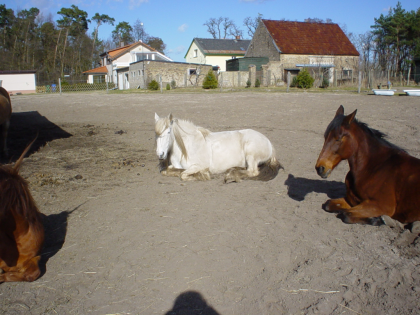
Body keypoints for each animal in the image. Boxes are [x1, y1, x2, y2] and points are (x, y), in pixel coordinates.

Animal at [154, 113, 282, 183]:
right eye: (155, 134)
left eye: (168, 132)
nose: (160, 154)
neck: (188, 146)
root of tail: (269, 142)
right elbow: (166, 171)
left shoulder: (199, 166)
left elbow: (183, 175)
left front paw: (200, 176)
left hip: (251, 153)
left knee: (252, 171)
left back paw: (231, 176)